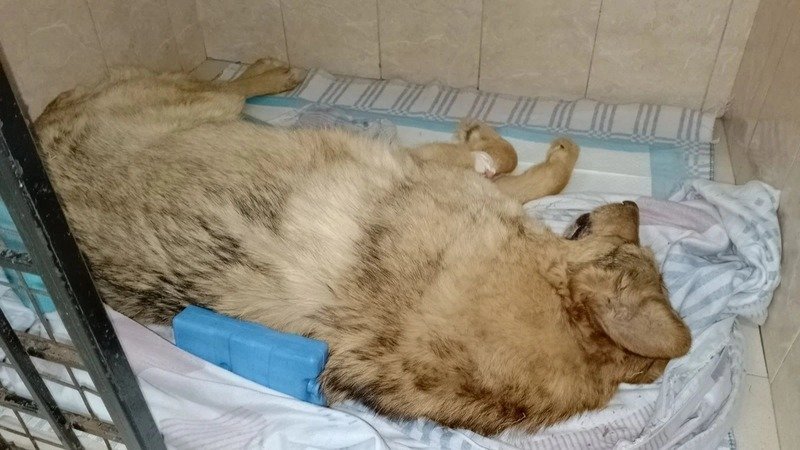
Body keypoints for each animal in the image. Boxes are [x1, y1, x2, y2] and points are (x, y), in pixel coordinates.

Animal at [33, 58, 691, 435]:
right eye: (640, 254)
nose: (633, 206)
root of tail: (34, 128)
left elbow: (520, 173)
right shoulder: (438, 170)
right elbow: (520, 168)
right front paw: (503, 144)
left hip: (204, 108)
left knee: (227, 85)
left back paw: (272, 71)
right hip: (205, 106)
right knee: (225, 84)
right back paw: (273, 71)